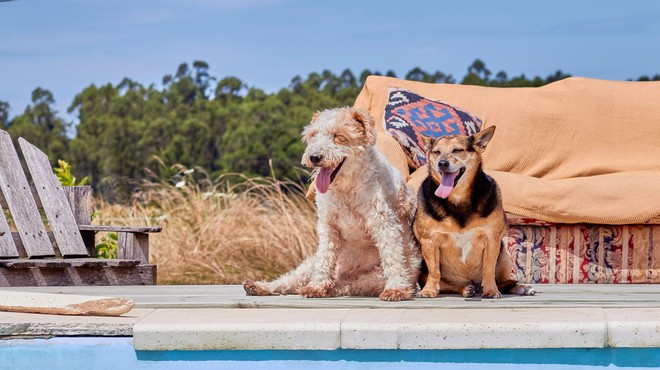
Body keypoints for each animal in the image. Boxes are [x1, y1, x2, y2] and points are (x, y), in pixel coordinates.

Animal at [416, 125, 532, 300]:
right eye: (436, 152)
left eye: (457, 150)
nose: (442, 163)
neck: (458, 199)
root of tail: (471, 282)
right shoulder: (429, 241)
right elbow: (434, 271)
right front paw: (429, 290)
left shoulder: (492, 239)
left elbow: (488, 269)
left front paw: (491, 290)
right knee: (450, 285)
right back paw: (465, 288)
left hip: (504, 255)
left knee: (504, 282)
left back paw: (520, 287)